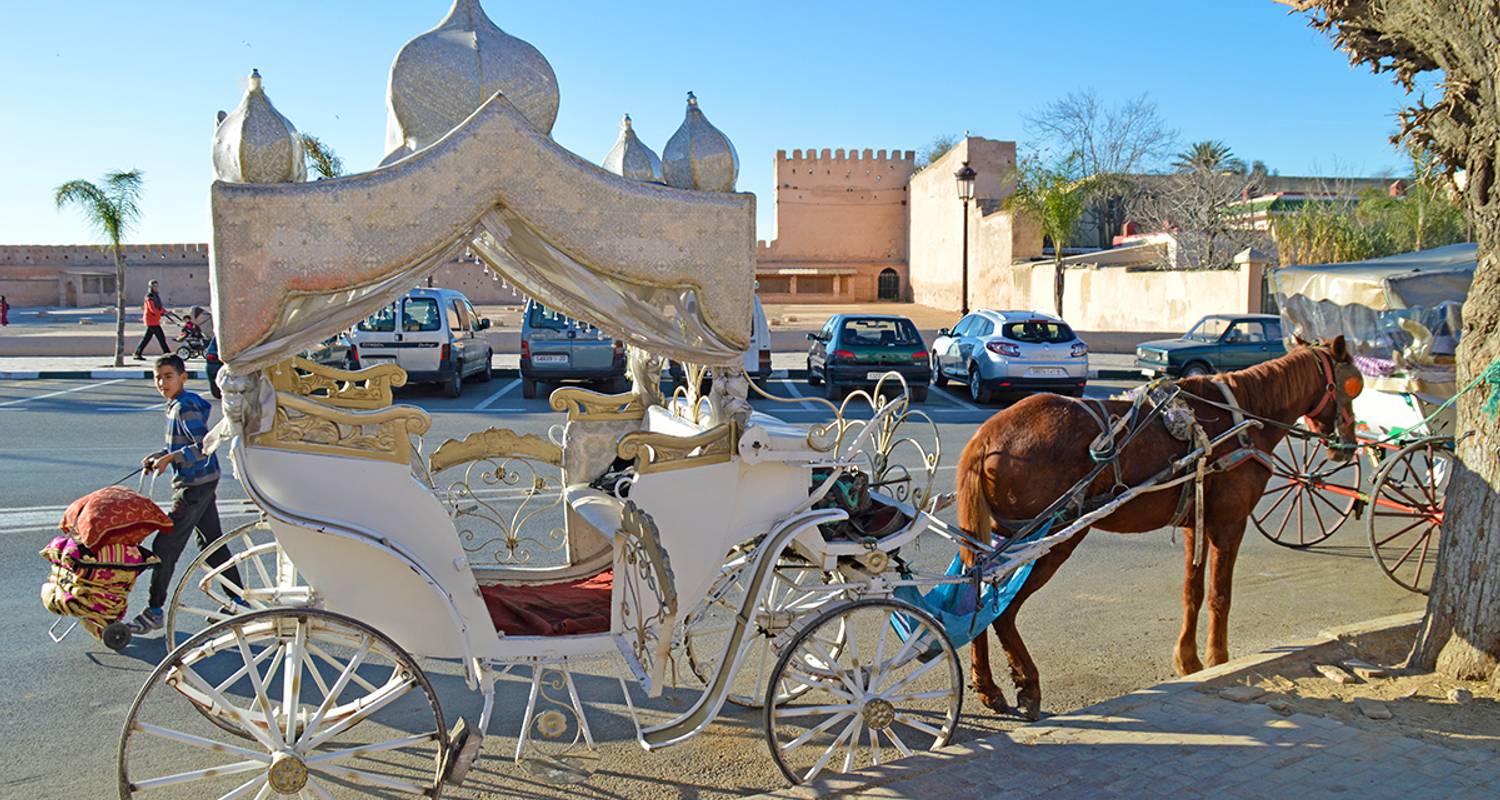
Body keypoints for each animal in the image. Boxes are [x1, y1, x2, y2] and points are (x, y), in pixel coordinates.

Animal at [954, 336, 1368, 717]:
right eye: (1352, 384)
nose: (1347, 444)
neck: (1244, 415)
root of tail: (986, 436)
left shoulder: (1195, 522)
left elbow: (1192, 591)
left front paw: (1189, 661)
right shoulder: (1230, 522)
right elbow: (1220, 595)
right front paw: (1219, 659)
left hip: (1000, 536)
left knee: (974, 594)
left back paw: (988, 686)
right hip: (1052, 538)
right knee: (1003, 611)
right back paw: (1028, 684)